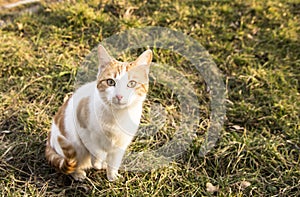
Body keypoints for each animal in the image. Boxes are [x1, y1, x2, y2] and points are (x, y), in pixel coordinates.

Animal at [45, 45, 154, 182]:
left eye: (132, 83)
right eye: (110, 82)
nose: (119, 96)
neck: (116, 117)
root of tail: (50, 139)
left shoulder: (122, 142)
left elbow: (114, 161)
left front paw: (112, 176)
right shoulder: (84, 129)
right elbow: (96, 151)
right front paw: (97, 163)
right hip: (73, 144)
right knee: (73, 161)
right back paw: (79, 173)